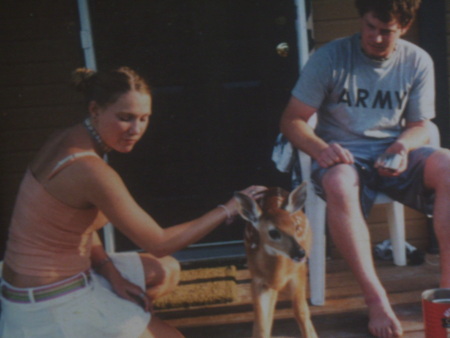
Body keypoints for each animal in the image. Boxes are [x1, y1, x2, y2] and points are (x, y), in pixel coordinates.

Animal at [234, 185, 318, 338]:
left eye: (295, 227)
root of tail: (274, 188)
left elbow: (301, 311)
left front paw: (311, 334)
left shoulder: (298, 272)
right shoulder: (257, 279)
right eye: (273, 232)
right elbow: (261, 321)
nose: (300, 252)